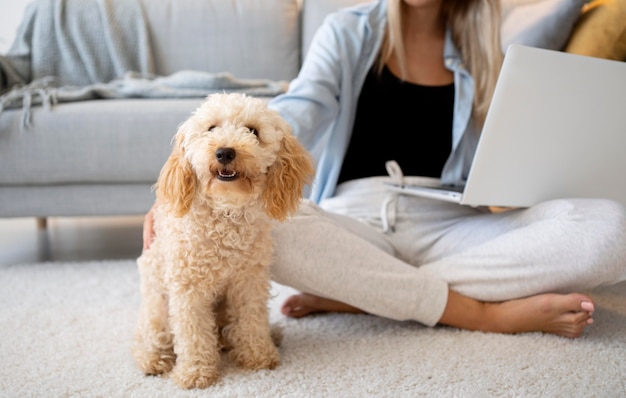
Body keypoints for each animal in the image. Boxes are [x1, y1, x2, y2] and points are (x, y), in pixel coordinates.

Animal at [133, 92, 314, 388]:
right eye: (211, 128)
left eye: (252, 131)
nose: (225, 152)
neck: (225, 216)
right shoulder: (188, 289)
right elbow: (193, 333)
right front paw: (196, 372)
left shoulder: (249, 281)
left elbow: (251, 320)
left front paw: (258, 355)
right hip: (157, 307)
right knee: (151, 338)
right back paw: (154, 359)